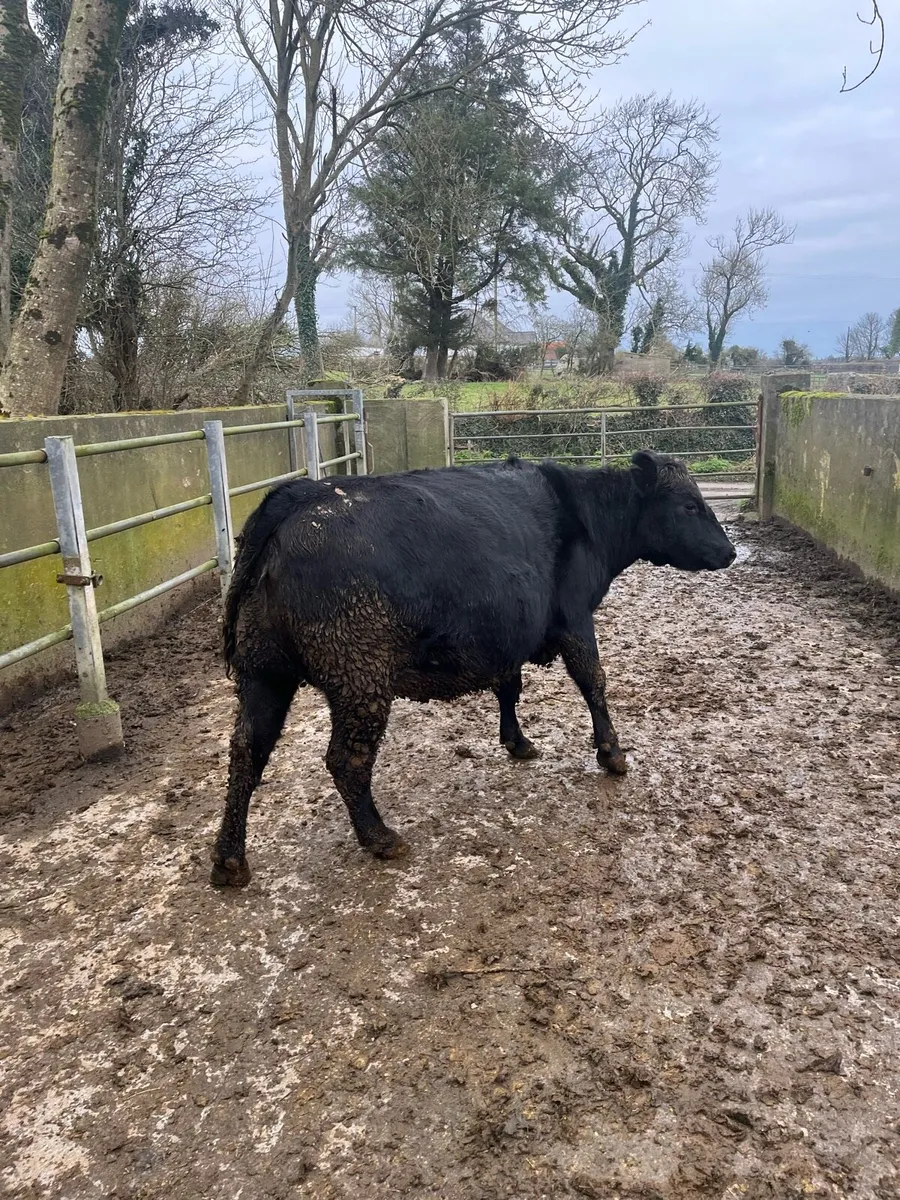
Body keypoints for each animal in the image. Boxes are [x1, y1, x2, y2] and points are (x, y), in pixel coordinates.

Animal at [210, 450, 736, 887]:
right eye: (690, 505)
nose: (730, 552)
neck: (585, 515)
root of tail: (296, 498)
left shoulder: (507, 633)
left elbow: (510, 685)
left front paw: (517, 742)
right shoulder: (574, 618)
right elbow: (593, 682)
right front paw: (612, 753)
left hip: (264, 674)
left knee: (247, 753)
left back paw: (230, 860)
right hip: (359, 678)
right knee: (345, 759)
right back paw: (380, 837)